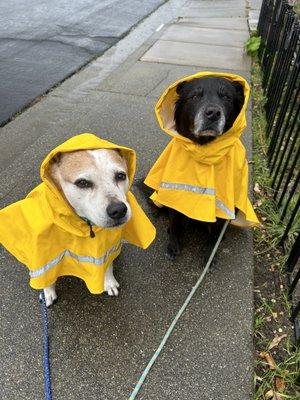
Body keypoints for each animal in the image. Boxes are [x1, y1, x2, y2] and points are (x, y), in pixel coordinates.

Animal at [168, 77, 245, 260]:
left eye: (226, 96)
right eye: (195, 96)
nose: (213, 113)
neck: (204, 150)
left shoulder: (224, 204)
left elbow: (215, 232)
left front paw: (211, 252)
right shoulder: (173, 193)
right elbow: (174, 222)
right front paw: (173, 244)